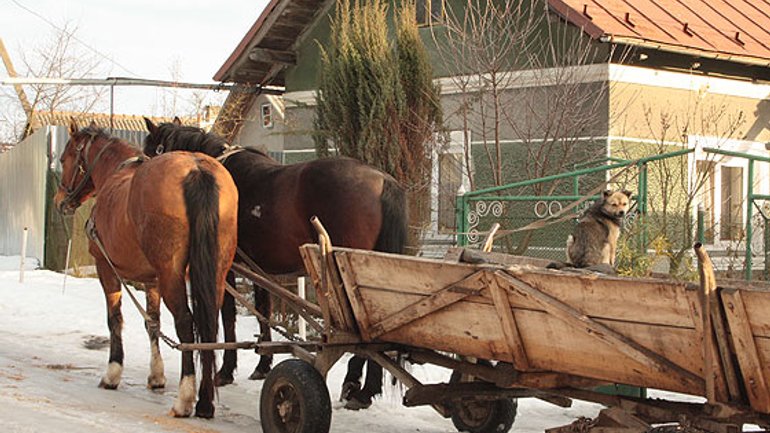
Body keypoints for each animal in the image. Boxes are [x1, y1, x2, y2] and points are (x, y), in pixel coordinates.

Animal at [53, 120, 237, 416]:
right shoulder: (152, 280)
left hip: (172, 275)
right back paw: (205, 401)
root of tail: (196, 168)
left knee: (185, 323)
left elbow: (114, 319)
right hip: (216, 273)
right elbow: (152, 322)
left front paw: (112, 373)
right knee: (209, 327)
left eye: (64, 158)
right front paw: (156, 375)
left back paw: (185, 398)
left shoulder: (105, 267)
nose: (60, 201)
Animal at [144, 118, 408, 408]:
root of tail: (382, 179)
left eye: (150, 151)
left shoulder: (229, 267)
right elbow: (263, 311)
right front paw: (262, 365)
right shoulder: (259, 267)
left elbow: (228, 314)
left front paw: (226, 370)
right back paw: (364, 388)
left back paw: (357, 385)